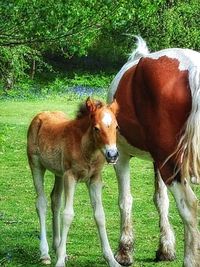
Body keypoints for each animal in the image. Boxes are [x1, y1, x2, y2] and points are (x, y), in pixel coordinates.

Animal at [26, 98, 122, 267]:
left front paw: (111, 260)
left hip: (58, 173)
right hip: (36, 165)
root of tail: (41, 115)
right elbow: (68, 215)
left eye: (116, 127)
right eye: (96, 128)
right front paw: (59, 261)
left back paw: (57, 247)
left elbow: (100, 215)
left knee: (55, 200)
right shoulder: (70, 176)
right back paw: (45, 254)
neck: (87, 150)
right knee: (41, 203)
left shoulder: (95, 179)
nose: (112, 155)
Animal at [108, 37, 200, 267]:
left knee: (189, 207)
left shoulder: (120, 156)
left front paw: (124, 251)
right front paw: (166, 248)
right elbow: (161, 200)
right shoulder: (157, 160)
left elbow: (125, 200)